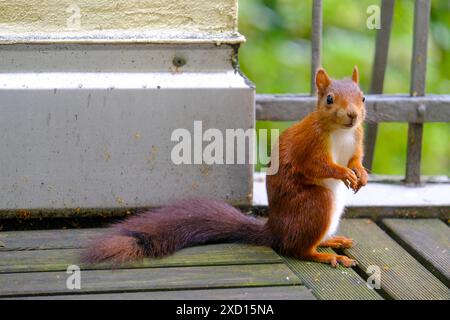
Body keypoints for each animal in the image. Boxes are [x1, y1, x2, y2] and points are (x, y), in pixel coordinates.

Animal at [82, 66, 368, 266]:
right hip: (316, 203)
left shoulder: (357, 138)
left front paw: (361, 174)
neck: (341, 132)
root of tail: (275, 230)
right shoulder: (309, 145)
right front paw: (343, 172)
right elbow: (315, 167)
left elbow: (356, 158)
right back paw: (326, 256)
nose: (353, 115)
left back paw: (333, 240)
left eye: (363, 98)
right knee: (297, 249)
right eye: (329, 99)